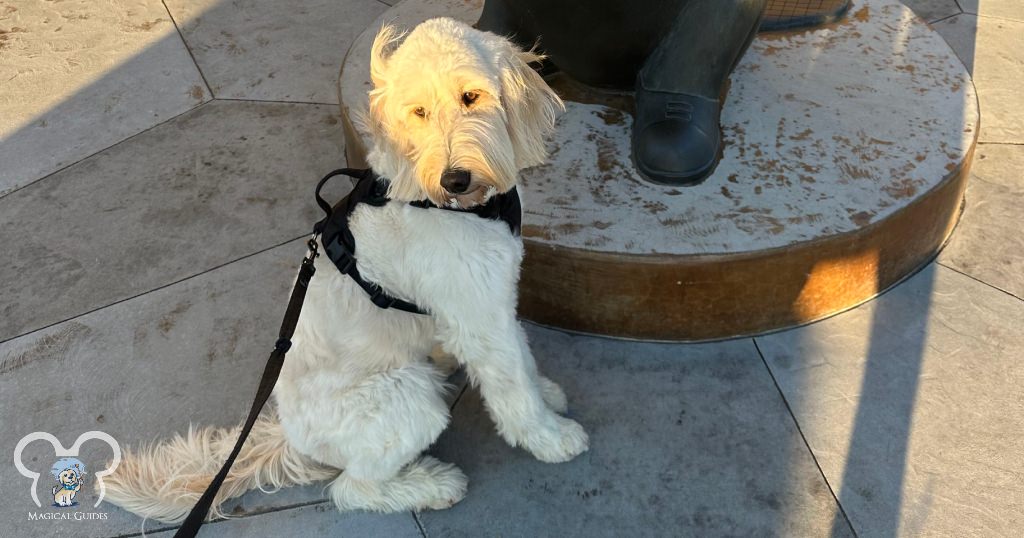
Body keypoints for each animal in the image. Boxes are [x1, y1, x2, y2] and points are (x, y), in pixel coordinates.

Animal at [102, 17, 589, 520]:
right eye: (418, 112)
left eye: (470, 97)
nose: (454, 179)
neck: (451, 206)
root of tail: (291, 439)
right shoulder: (476, 319)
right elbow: (512, 387)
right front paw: (550, 437)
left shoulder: (494, 301)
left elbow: (520, 356)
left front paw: (545, 394)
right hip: (407, 397)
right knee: (352, 489)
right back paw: (432, 485)